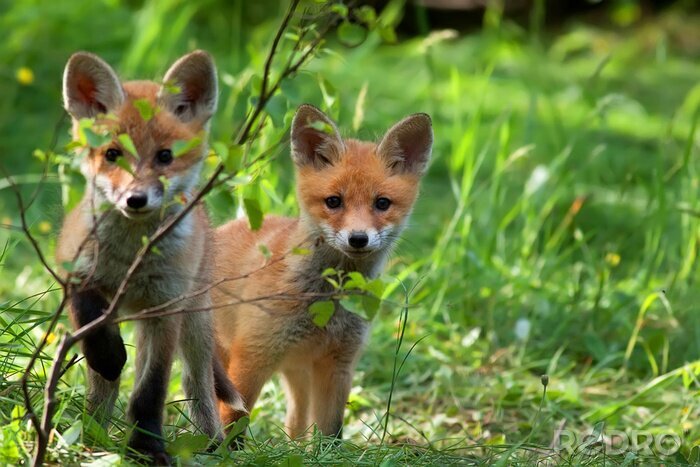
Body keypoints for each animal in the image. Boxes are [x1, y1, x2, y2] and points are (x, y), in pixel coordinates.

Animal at [56, 50, 242, 463]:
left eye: (165, 156)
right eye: (112, 154)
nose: (135, 199)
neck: (131, 259)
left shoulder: (165, 307)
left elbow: (150, 390)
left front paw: (147, 448)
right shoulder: (77, 271)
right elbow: (92, 324)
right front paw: (109, 355)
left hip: (194, 323)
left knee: (197, 383)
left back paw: (213, 444)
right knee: (103, 390)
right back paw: (92, 435)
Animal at [212, 104, 433, 440]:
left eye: (382, 203)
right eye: (333, 201)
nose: (358, 238)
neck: (327, 303)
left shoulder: (339, 364)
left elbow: (330, 432)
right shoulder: (253, 355)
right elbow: (233, 422)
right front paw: (222, 450)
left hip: (298, 372)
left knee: (296, 423)